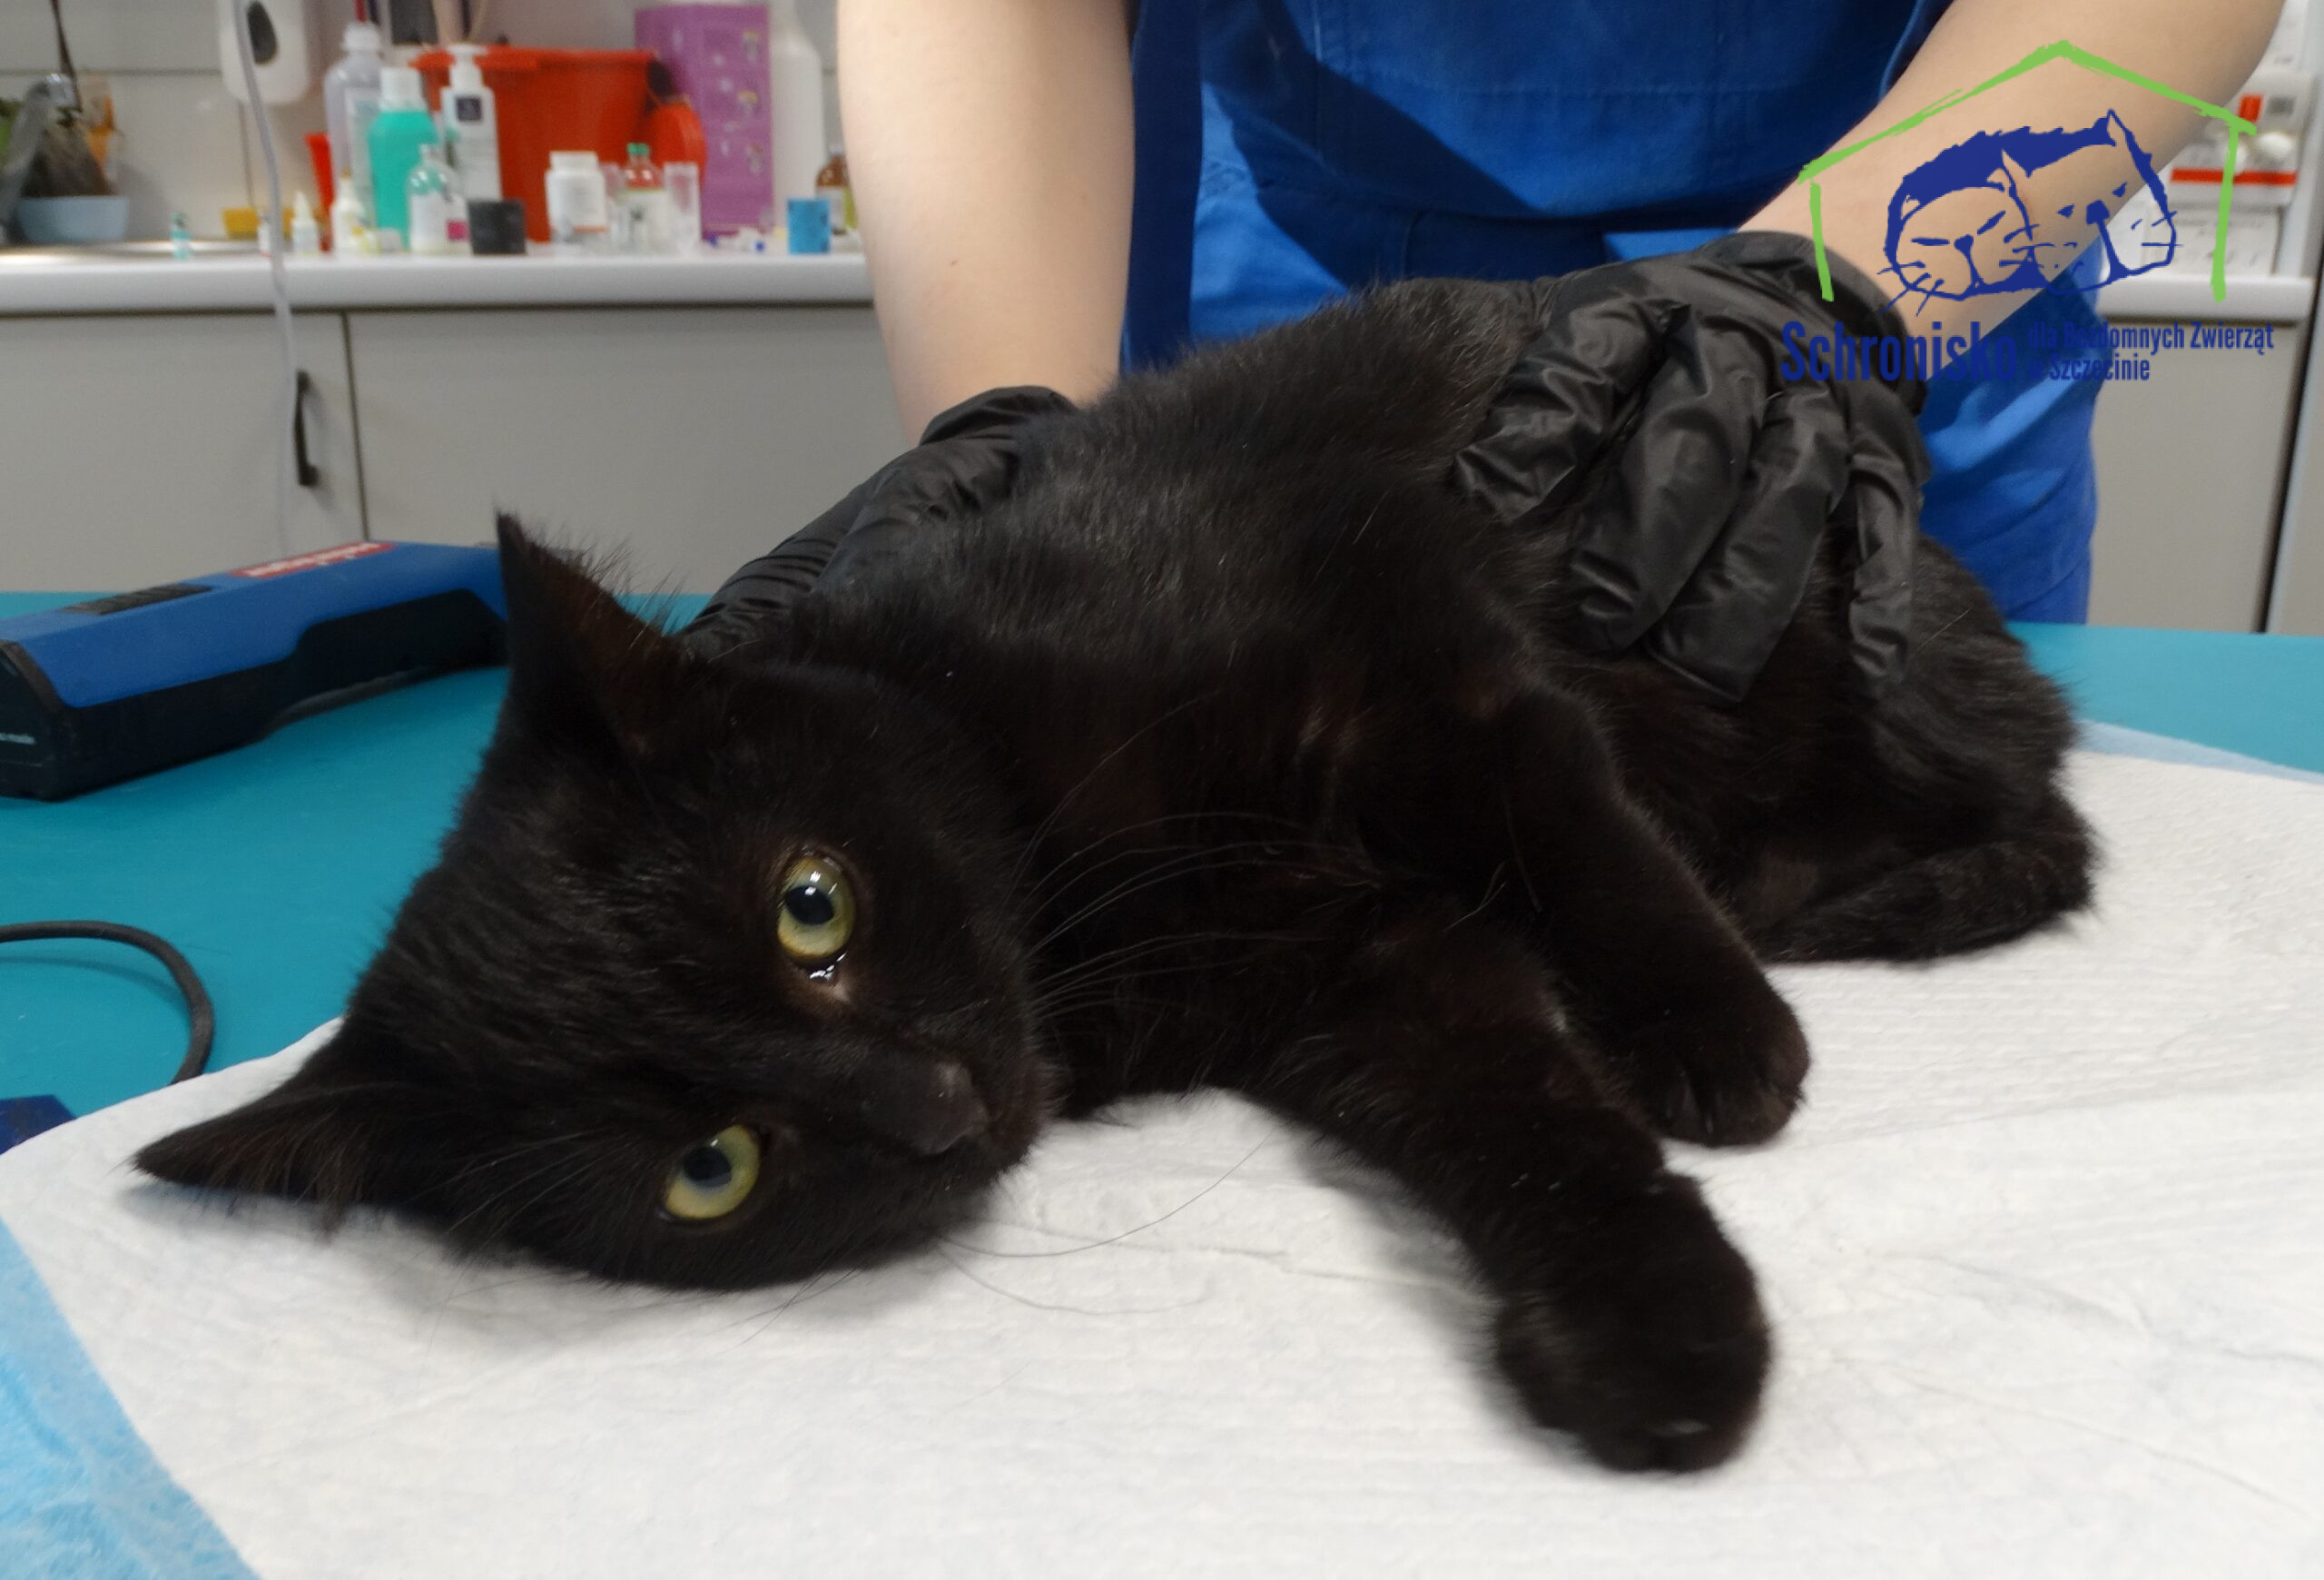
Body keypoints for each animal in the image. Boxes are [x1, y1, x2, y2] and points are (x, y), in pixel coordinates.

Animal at [138, 279, 2094, 1473]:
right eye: (708, 1171)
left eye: (811, 904)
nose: (931, 1105)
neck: (1062, 877)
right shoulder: (1359, 976)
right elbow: (1516, 1115)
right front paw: (1653, 1335)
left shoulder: (1418, 647)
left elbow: (1572, 828)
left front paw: (1711, 1038)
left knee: (2041, 823)